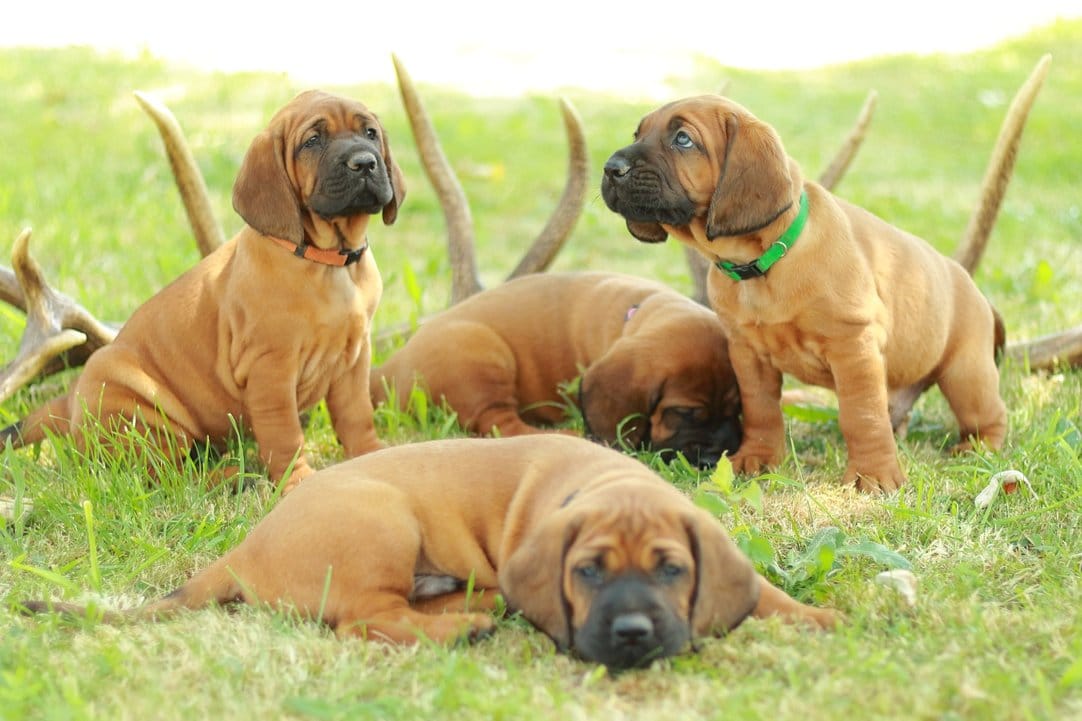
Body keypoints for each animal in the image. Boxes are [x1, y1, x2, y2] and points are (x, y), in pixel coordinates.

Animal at [1, 89, 406, 491]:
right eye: (312, 140)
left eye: (370, 133)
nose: (364, 163)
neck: (330, 263)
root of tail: (68, 400)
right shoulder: (270, 368)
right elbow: (285, 434)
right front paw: (298, 480)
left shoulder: (354, 358)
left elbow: (356, 414)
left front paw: (372, 454)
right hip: (142, 408)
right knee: (165, 473)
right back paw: (232, 476)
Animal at [23, 433, 835, 666]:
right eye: (586, 574)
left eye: (673, 570)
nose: (633, 635)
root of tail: (242, 552)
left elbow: (763, 591)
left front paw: (814, 616)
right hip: (384, 522)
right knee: (363, 621)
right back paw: (463, 624)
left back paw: (467, 605)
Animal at [367, 270, 740, 465]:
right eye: (684, 413)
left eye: (737, 409)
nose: (718, 455)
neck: (640, 309)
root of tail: (388, 369)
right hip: (482, 354)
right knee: (502, 426)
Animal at [605, 94, 1008, 489]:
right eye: (638, 132)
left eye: (683, 139)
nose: (610, 168)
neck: (762, 265)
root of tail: (969, 283)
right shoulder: (748, 353)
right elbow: (761, 410)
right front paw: (757, 459)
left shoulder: (853, 347)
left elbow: (862, 416)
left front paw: (873, 475)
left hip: (966, 375)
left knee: (990, 414)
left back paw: (978, 448)